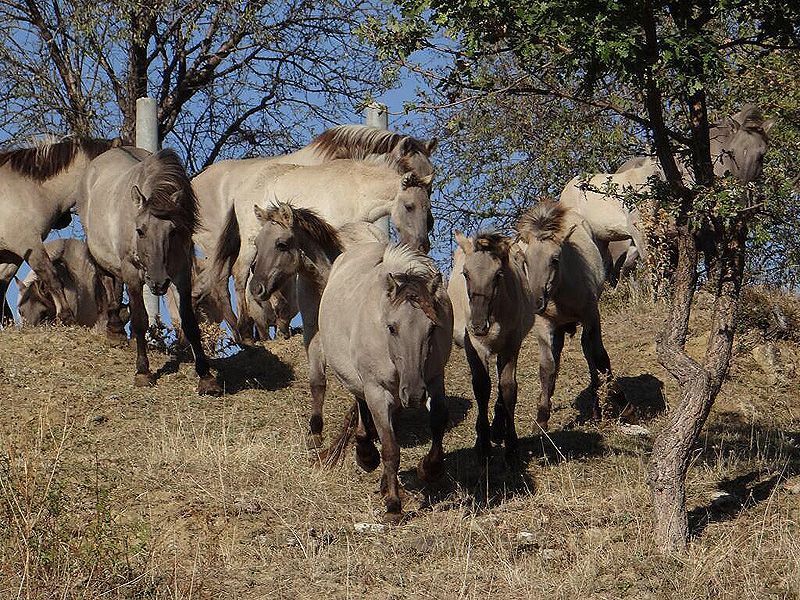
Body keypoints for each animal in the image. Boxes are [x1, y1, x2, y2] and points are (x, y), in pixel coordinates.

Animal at [77, 148, 222, 396]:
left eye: (173, 231)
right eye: (140, 230)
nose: (158, 283)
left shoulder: (182, 273)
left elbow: (189, 321)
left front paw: (206, 377)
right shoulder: (132, 272)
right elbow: (139, 320)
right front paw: (143, 372)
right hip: (99, 252)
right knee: (108, 280)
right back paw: (114, 331)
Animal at [322, 244, 454, 520]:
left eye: (432, 329)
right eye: (392, 328)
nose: (413, 394)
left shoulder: (434, 380)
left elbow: (438, 420)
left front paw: (430, 468)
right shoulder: (377, 391)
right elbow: (391, 449)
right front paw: (394, 505)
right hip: (363, 384)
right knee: (363, 409)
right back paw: (367, 456)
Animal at [450, 231, 532, 464]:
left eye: (498, 275)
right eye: (466, 274)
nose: (478, 325)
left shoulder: (511, 345)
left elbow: (508, 387)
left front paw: (511, 448)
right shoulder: (475, 347)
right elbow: (481, 387)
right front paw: (483, 444)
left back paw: (498, 428)